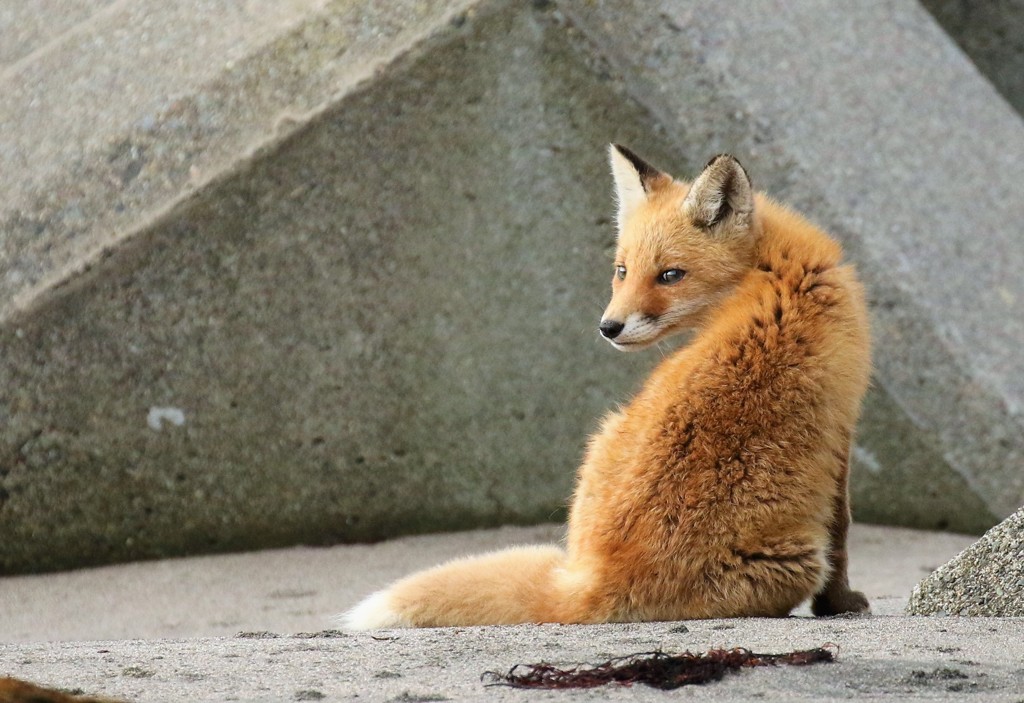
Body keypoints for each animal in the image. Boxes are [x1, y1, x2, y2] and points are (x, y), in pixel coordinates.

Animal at [346, 145, 872, 630]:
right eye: (622, 270)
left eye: (670, 275)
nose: (608, 327)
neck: (774, 271)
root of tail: (594, 584)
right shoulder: (842, 428)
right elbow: (842, 531)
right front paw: (841, 605)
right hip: (796, 558)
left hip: (603, 437)